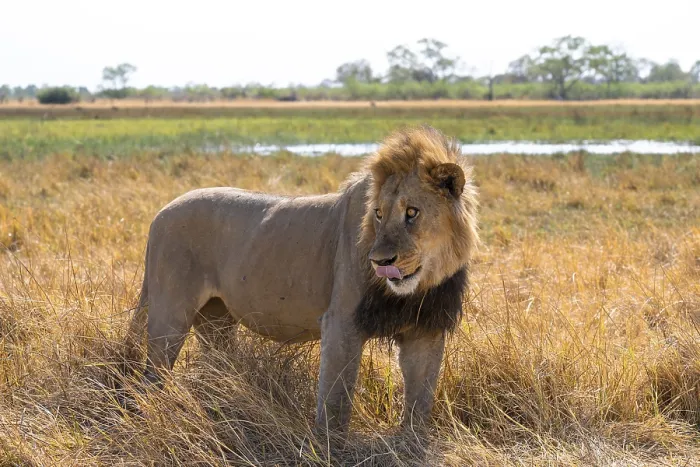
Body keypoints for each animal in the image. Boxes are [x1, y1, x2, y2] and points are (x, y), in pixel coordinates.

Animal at [126, 124, 479, 434]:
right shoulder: (341, 322)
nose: (379, 261)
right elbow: (335, 402)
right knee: (152, 375)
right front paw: (328, 447)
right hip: (169, 315)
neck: (416, 288)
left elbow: (420, 402)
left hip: (217, 320)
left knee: (216, 367)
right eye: (378, 214)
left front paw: (411, 444)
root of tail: (160, 213)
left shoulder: (426, 330)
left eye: (412, 213)